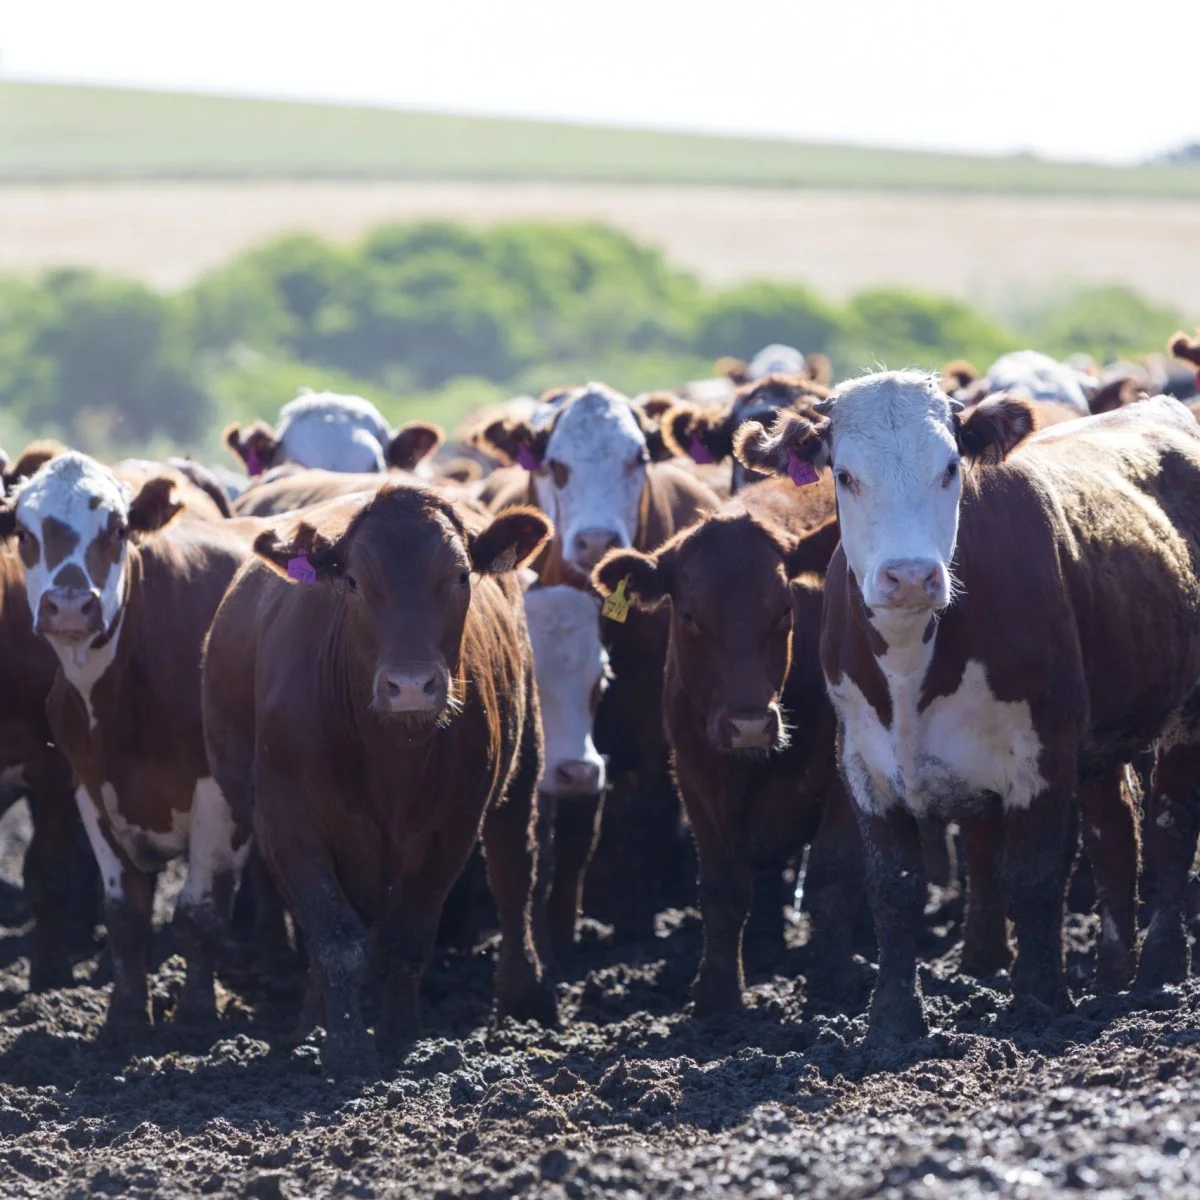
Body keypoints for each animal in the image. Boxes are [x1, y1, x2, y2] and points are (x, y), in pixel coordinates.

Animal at [0, 453, 253, 1032]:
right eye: (25, 532)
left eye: (117, 529)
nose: (71, 606)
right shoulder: (90, 789)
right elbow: (125, 915)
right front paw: (126, 1019)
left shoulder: (218, 796)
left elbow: (200, 914)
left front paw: (197, 1019)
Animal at [201, 483, 558, 1077]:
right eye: (353, 581)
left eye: (460, 576)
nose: (410, 686)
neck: (391, 757)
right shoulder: (287, 823)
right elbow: (333, 936)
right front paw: (343, 1046)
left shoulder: (453, 827)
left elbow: (408, 938)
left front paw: (401, 1036)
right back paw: (310, 1023)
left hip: (524, 753)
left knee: (514, 868)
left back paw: (525, 994)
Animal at [476, 382, 720, 939]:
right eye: (556, 464)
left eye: (638, 458)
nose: (596, 540)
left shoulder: (653, 724)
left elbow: (641, 818)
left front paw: (624, 929)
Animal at [593, 476, 862, 1013]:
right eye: (690, 616)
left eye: (784, 610)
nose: (750, 725)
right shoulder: (694, 774)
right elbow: (722, 888)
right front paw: (718, 997)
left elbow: (831, 874)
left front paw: (835, 983)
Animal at [735, 370, 1200, 1044]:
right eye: (843, 475)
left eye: (950, 467)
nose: (909, 576)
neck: (912, 662)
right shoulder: (862, 761)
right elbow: (894, 886)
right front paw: (892, 1021)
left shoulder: (1043, 747)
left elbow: (1033, 874)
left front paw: (1037, 1002)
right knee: (1115, 830)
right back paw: (1115, 974)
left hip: (1185, 711)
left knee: (1170, 824)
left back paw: (1158, 971)